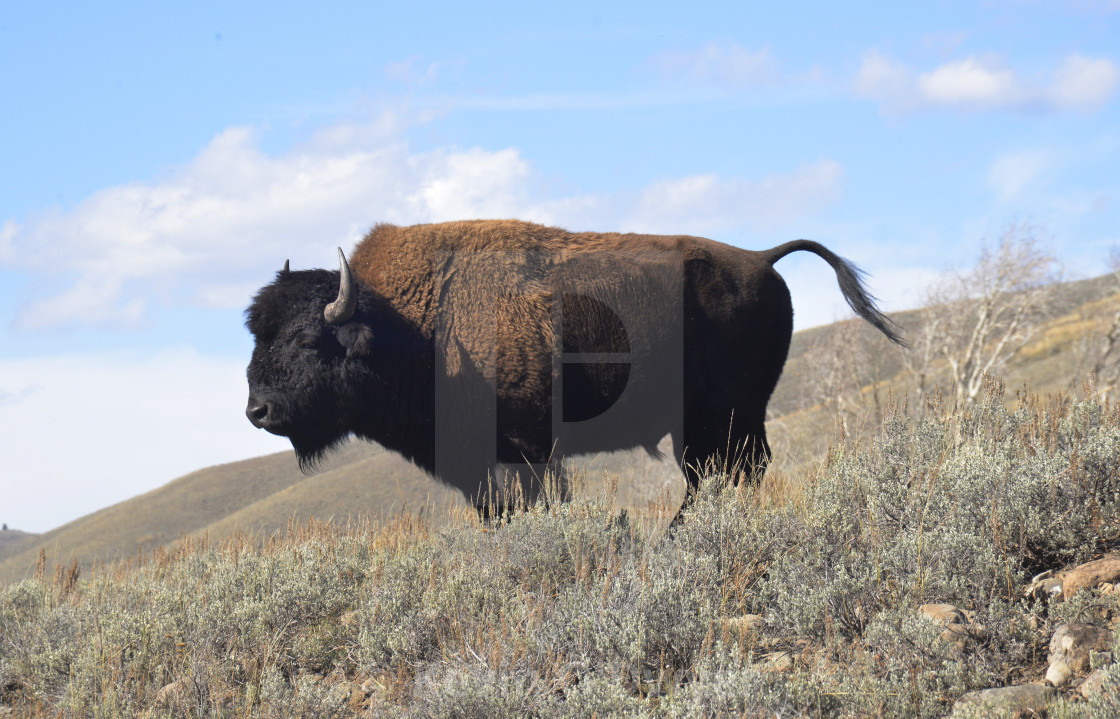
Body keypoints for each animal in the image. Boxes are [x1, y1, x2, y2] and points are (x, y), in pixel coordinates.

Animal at [243, 218, 900, 515]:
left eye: (308, 340)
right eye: (255, 334)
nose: (258, 410)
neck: (411, 324)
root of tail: (762, 260)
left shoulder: (527, 450)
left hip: (731, 412)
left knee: (731, 470)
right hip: (711, 420)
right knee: (720, 473)